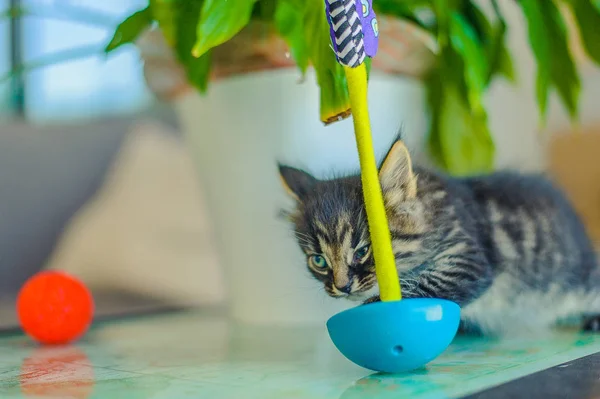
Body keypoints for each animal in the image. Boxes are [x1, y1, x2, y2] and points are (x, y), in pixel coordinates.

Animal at [278, 136, 600, 336]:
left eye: (362, 251)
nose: (342, 286)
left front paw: (374, 306)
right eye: (318, 261)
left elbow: (430, 280)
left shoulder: (469, 255)